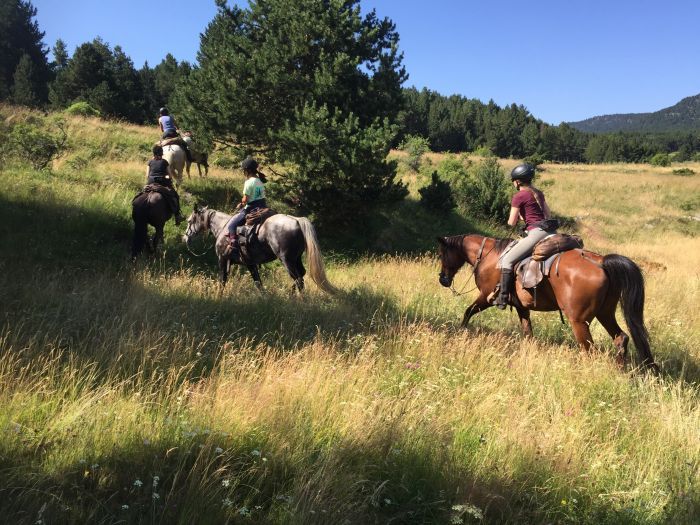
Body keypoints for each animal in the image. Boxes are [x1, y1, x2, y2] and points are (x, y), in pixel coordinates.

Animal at [182, 205, 338, 294]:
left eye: (190, 221)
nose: (185, 238)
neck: (223, 227)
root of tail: (297, 220)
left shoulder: (223, 259)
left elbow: (222, 281)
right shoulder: (250, 264)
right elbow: (258, 284)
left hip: (287, 260)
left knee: (298, 279)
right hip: (296, 258)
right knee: (301, 276)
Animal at [434, 235, 660, 370]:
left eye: (443, 253)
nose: (443, 279)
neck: (491, 257)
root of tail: (602, 262)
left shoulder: (486, 297)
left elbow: (468, 312)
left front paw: (461, 333)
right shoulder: (521, 308)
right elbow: (528, 332)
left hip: (579, 321)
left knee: (589, 349)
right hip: (605, 313)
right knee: (621, 338)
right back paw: (620, 370)